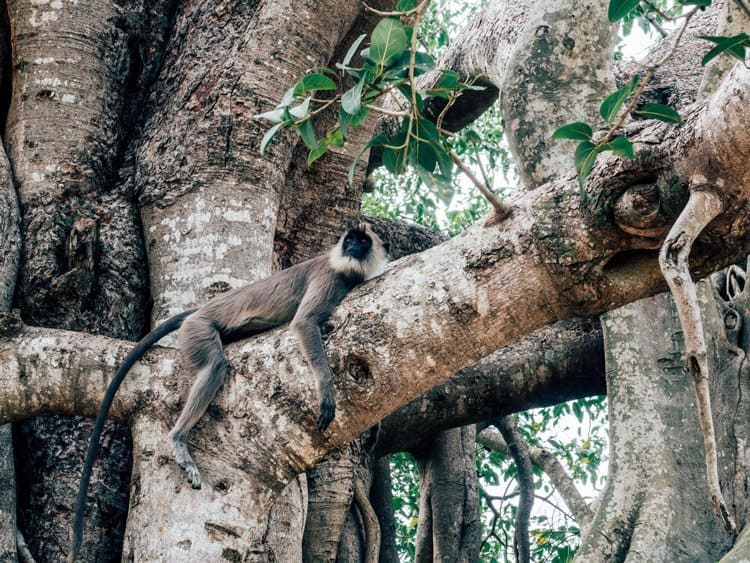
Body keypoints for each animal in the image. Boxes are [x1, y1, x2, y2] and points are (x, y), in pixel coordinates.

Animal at [66, 223, 388, 560]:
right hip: (198, 328)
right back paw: (178, 438)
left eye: (361, 241)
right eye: (349, 240)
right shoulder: (329, 276)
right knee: (215, 366)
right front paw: (326, 391)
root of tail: (199, 310)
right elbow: (305, 323)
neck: (344, 269)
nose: (351, 247)